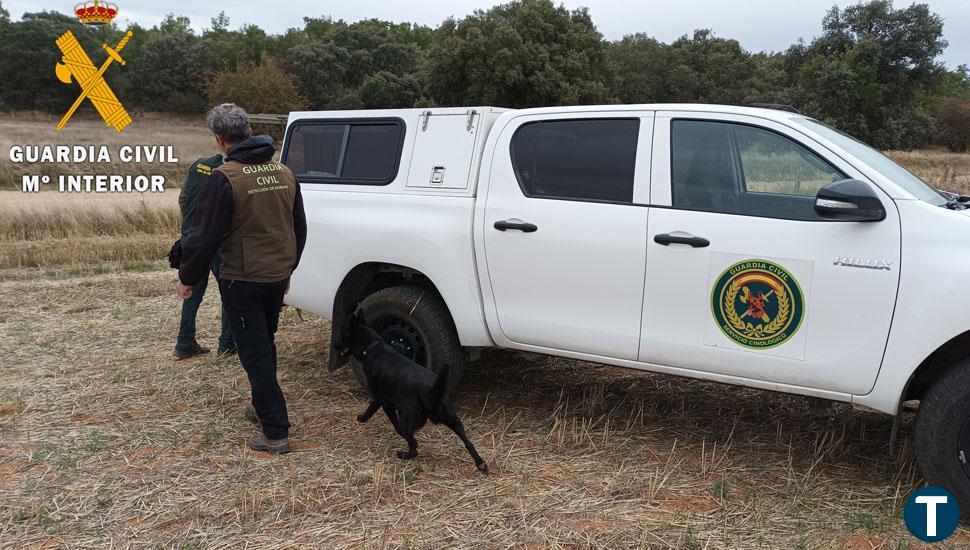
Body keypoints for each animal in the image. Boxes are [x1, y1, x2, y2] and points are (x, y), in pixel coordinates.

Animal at [332, 310, 488, 474]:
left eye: (342, 334)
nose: (334, 345)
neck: (373, 347)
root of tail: (429, 393)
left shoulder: (383, 401)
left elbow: (381, 416)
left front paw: (362, 418)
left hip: (407, 418)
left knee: (413, 448)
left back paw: (403, 454)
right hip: (454, 421)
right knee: (468, 442)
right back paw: (480, 463)